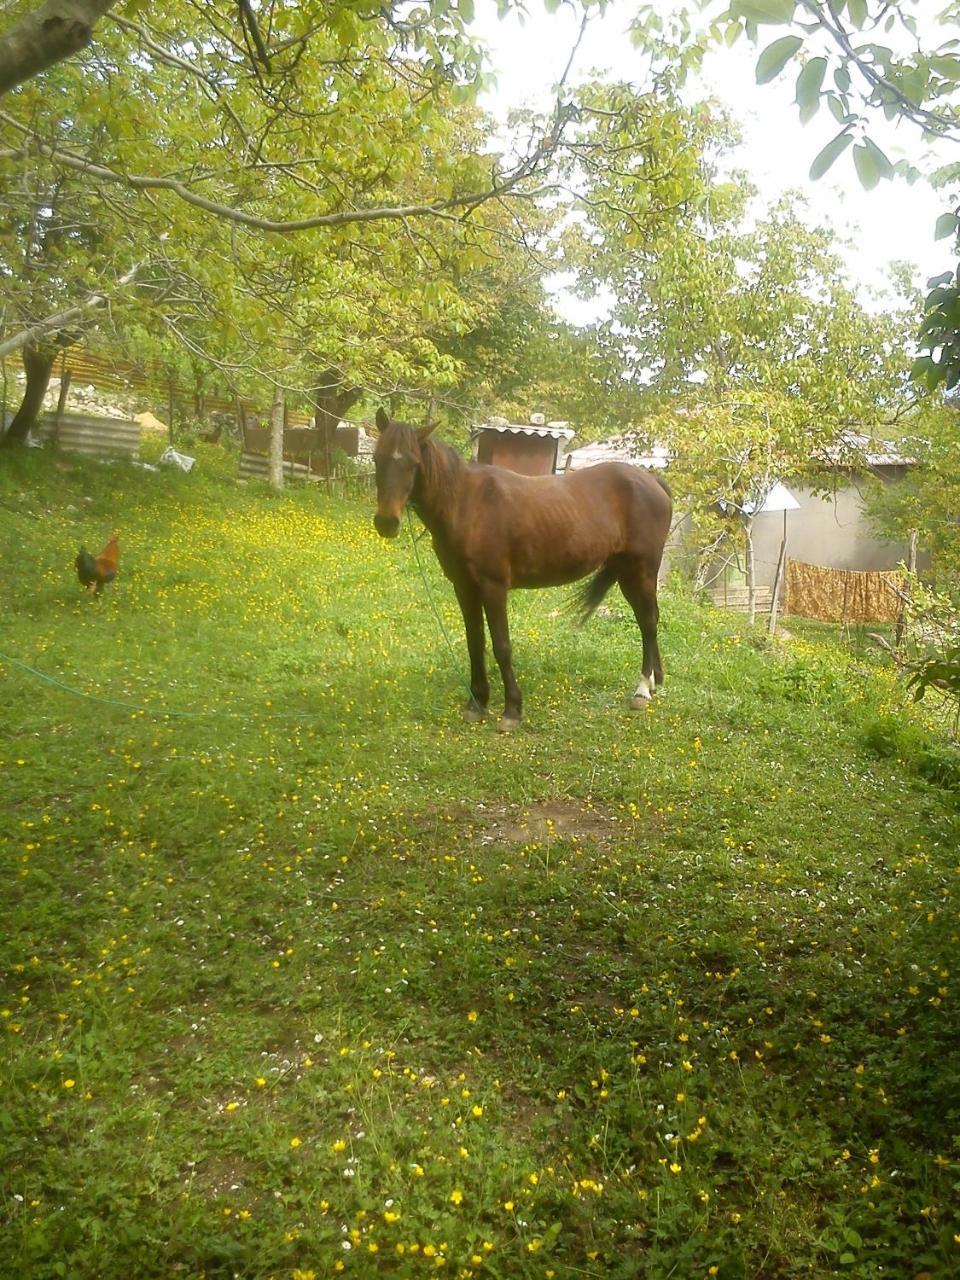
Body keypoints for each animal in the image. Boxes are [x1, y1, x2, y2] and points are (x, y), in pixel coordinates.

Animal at [371, 409, 670, 732]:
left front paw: (512, 710)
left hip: (641, 569)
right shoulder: (463, 586)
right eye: (377, 458)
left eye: (413, 463)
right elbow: (475, 642)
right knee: (646, 620)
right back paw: (654, 681)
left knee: (648, 621)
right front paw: (476, 703)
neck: (467, 505)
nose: (386, 522)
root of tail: (653, 481)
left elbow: (502, 646)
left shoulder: (493, 587)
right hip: (627, 572)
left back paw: (642, 690)